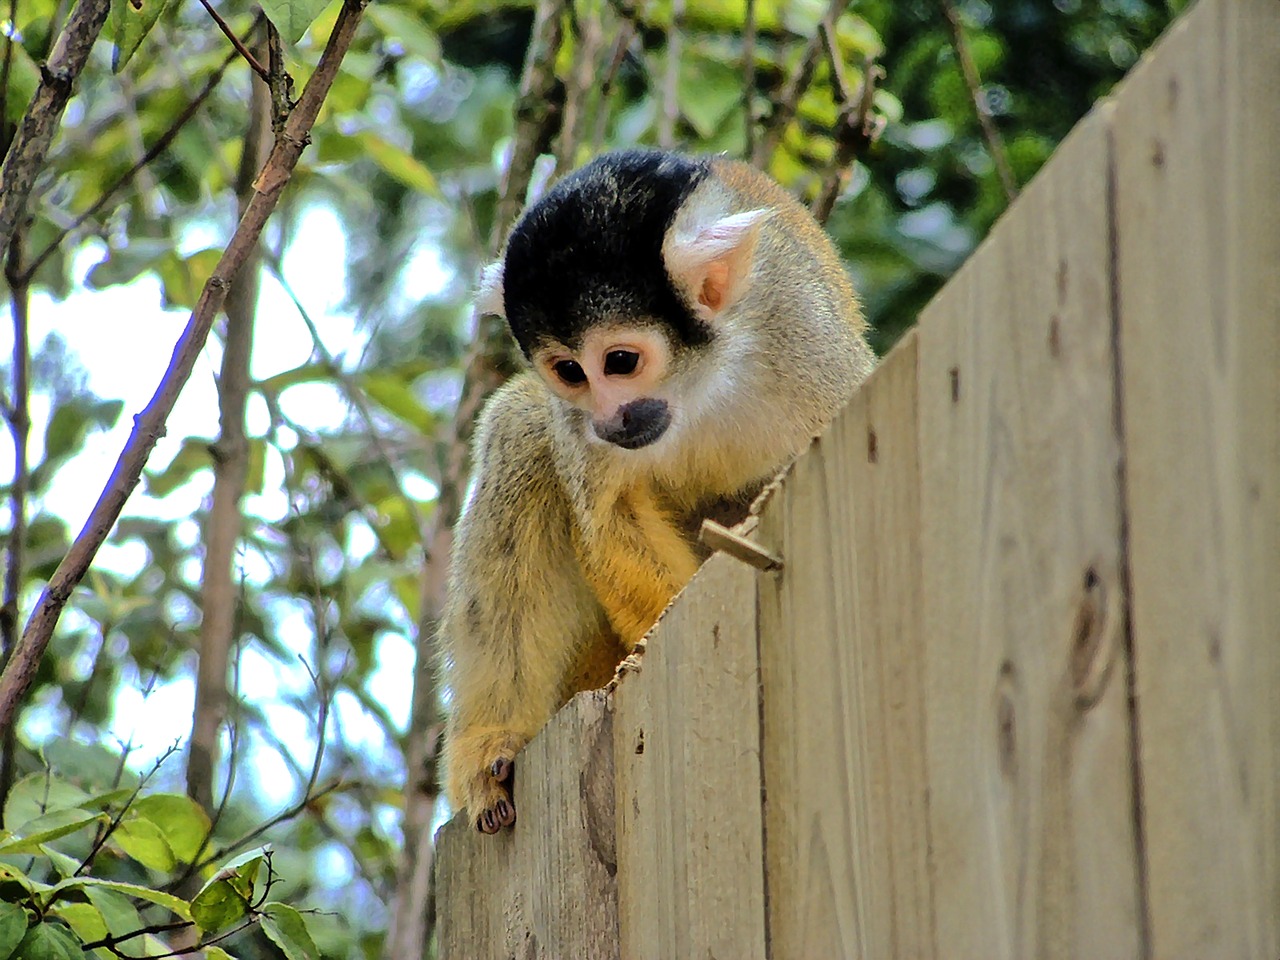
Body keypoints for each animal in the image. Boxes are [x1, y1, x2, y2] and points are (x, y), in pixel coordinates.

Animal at [437, 150, 870, 834]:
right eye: (569, 371)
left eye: (619, 361)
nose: (610, 421)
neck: (697, 383)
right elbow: (609, 516)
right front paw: (654, 640)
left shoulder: (802, 333)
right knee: (522, 427)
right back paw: (489, 745)